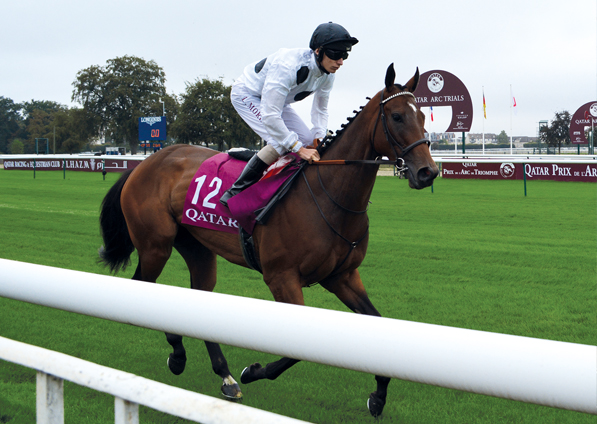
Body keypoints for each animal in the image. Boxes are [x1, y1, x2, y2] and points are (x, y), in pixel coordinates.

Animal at [99, 64, 438, 416]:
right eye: (397, 116)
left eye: (422, 116)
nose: (428, 172)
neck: (327, 194)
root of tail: (145, 163)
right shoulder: (281, 277)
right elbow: (297, 346)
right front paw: (253, 371)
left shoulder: (342, 276)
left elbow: (378, 325)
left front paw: (379, 394)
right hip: (155, 245)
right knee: (144, 287)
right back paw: (181, 355)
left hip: (196, 247)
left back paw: (225, 376)